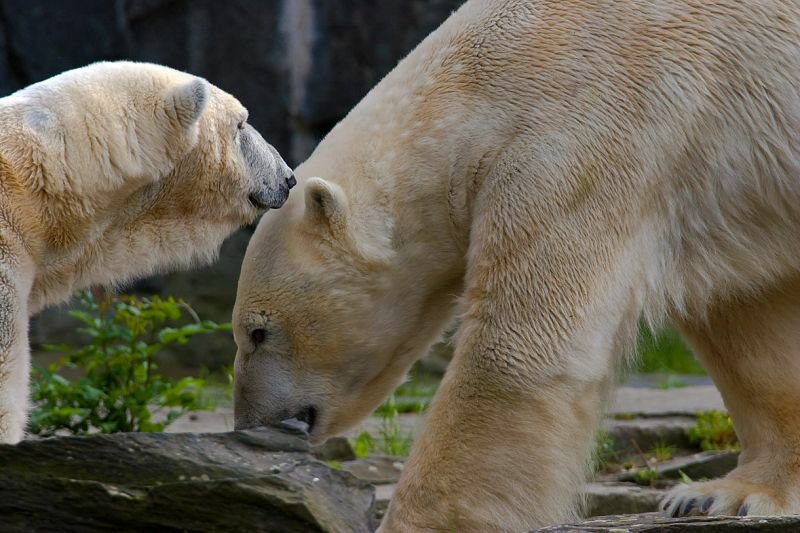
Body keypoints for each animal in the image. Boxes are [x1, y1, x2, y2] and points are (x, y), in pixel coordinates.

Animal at [230, 1, 800, 528]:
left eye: (259, 331)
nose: (250, 427)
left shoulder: (585, 139)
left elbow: (515, 353)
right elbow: (747, 317)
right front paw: (723, 493)